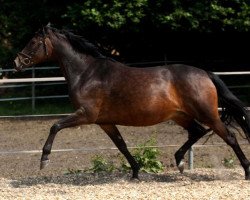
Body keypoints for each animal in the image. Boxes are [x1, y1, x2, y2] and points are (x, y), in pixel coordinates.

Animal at [13, 25, 250, 180]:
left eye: (33, 42)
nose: (16, 62)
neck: (87, 73)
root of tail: (205, 74)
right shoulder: (104, 122)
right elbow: (121, 145)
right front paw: (136, 172)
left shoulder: (86, 114)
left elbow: (55, 126)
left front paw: (44, 160)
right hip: (180, 115)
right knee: (197, 132)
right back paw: (180, 161)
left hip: (207, 114)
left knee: (229, 137)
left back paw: (246, 171)